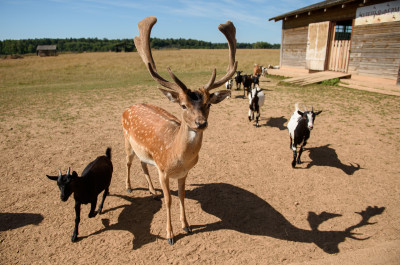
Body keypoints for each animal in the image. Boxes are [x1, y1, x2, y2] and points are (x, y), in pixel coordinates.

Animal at [120, 16, 236, 243]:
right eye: (183, 105)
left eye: (208, 104)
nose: (201, 123)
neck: (176, 155)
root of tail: (129, 107)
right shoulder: (163, 170)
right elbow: (169, 201)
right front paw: (170, 235)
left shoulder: (184, 173)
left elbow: (181, 196)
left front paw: (187, 226)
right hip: (126, 139)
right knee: (128, 161)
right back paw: (129, 186)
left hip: (143, 151)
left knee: (143, 163)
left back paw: (152, 191)